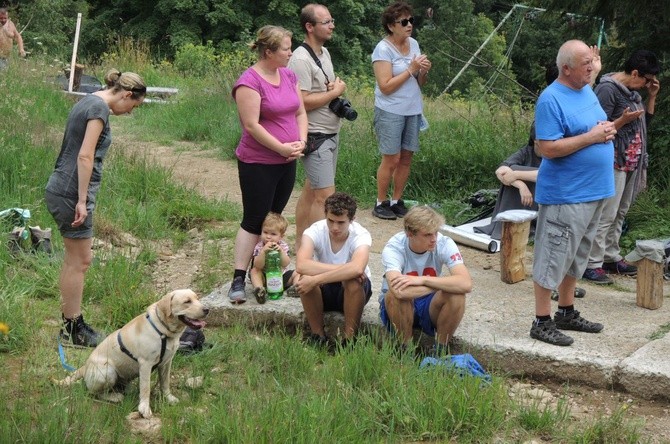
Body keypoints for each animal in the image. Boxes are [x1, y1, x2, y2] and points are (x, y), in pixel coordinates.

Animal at [54, 290, 207, 418]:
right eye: (187, 301)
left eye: (197, 298)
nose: (207, 309)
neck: (163, 330)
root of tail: (85, 367)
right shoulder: (145, 364)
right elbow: (145, 388)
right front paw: (144, 408)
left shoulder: (166, 363)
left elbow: (165, 383)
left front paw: (168, 398)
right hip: (107, 371)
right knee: (93, 392)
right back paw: (114, 397)